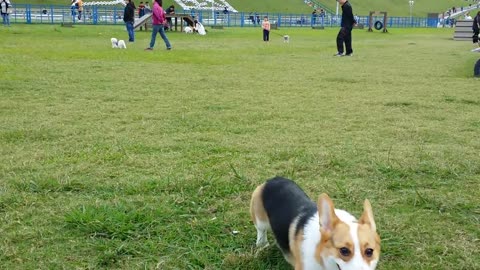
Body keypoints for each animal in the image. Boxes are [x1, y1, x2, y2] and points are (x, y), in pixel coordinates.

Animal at [249, 177, 380, 270]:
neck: (321, 253)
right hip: (260, 218)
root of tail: (272, 180)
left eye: (369, 251)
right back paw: (262, 243)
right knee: (260, 229)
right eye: (344, 251)